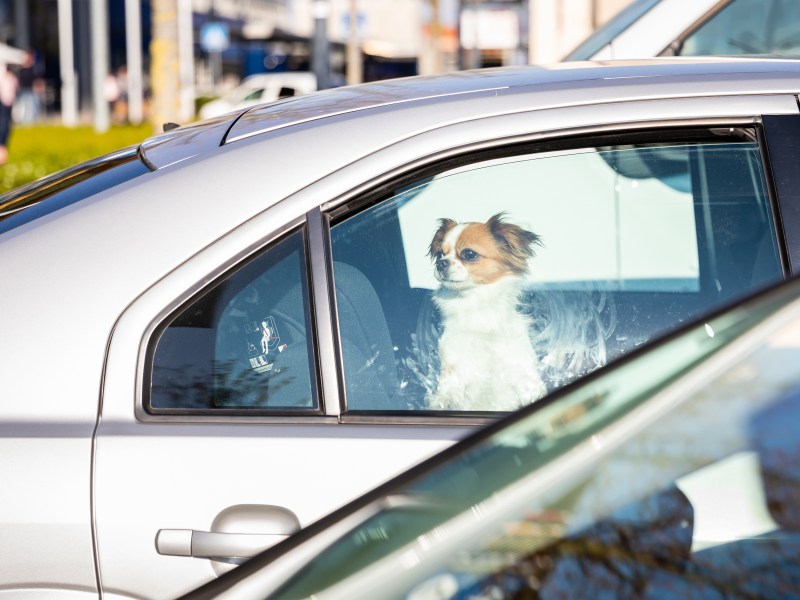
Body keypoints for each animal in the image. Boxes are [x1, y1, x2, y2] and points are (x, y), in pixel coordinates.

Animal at [424, 214, 552, 412]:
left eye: (469, 254)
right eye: (439, 254)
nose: (440, 263)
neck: (478, 307)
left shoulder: (521, 367)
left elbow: (530, 388)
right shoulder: (455, 363)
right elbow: (450, 387)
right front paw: (445, 401)